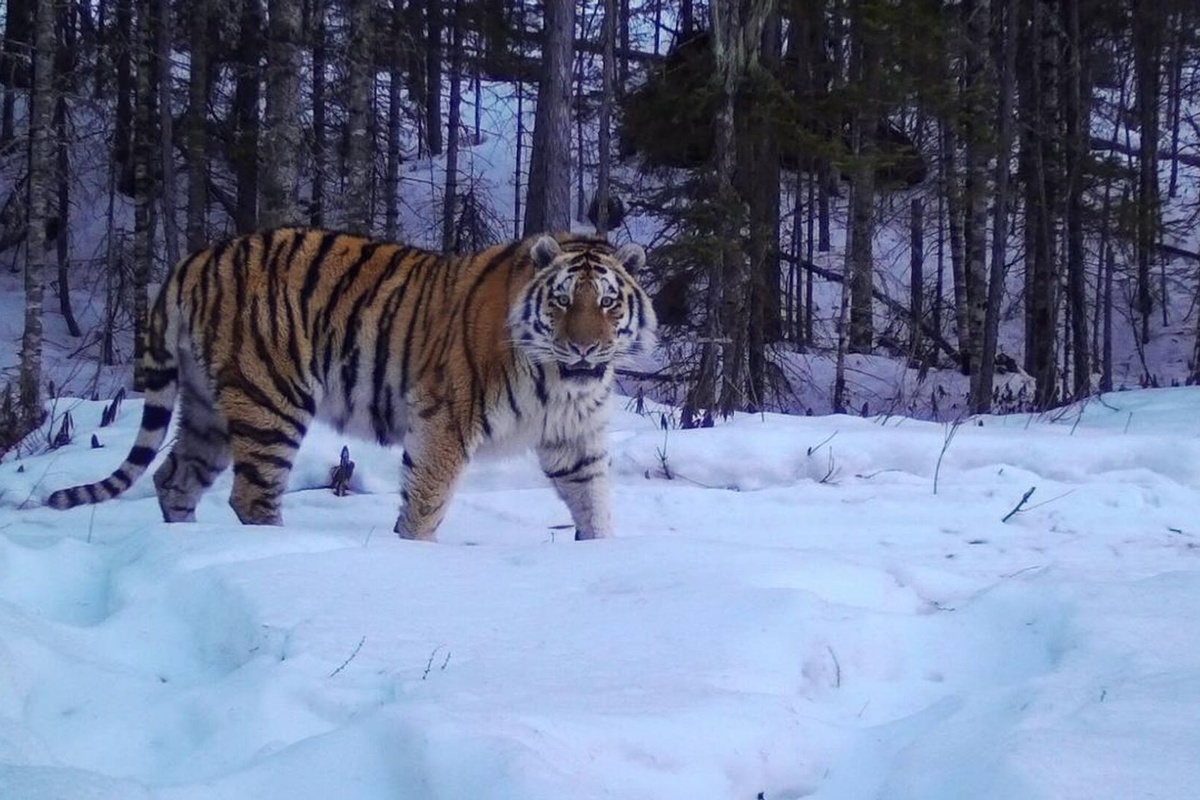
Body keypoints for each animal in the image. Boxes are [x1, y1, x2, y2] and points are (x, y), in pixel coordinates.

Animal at [46, 228, 657, 541]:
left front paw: (596, 551)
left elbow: (594, 504)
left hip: (208, 409)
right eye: (561, 301)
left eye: (607, 302)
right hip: (271, 399)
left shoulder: (574, 439)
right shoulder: (444, 420)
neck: (558, 382)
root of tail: (193, 258)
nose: (585, 347)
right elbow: (426, 503)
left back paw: (183, 546)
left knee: (173, 477)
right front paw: (413, 550)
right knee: (251, 494)